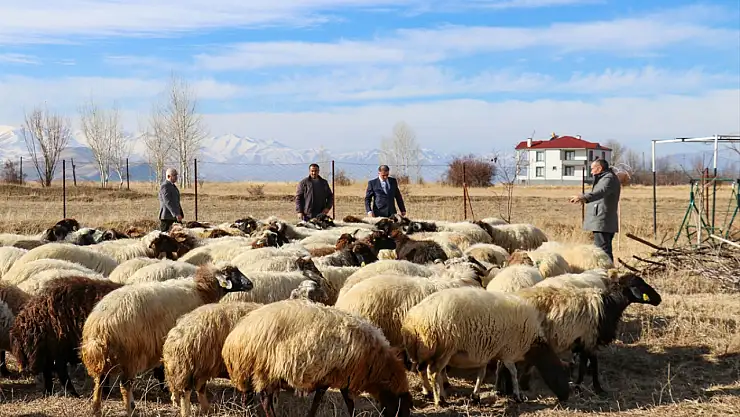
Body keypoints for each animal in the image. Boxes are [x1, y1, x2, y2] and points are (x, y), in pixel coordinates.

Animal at [80, 263, 254, 416]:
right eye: (230, 273)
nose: (250, 284)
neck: (201, 290)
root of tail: (99, 325)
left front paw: (174, 397)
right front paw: (176, 399)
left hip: (106, 358)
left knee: (99, 381)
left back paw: (96, 409)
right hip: (130, 355)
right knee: (124, 386)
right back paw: (131, 410)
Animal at [221, 299, 413, 417]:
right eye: (402, 404)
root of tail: (235, 337)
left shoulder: (335, 377)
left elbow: (329, 399)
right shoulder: (341, 375)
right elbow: (343, 401)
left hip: (250, 370)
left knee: (248, 396)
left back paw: (247, 413)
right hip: (264, 369)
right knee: (265, 400)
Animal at [401, 286, 570, 406]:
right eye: (560, 376)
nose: (566, 398)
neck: (533, 343)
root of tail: (413, 320)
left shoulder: (487, 351)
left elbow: (481, 374)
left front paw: (475, 396)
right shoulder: (509, 351)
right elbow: (514, 373)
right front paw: (517, 396)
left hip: (428, 351)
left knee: (426, 371)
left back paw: (432, 393)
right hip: (444, 349)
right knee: (434, 373)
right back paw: (440, 401)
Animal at [506, 272, 662, 395]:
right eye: (639, 286)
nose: (659, 299)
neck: (608, 305)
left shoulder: (583, 341)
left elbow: (585, 365)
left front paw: (584, 386)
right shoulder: (590, 339)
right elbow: (592, 365)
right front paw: (592, 388)